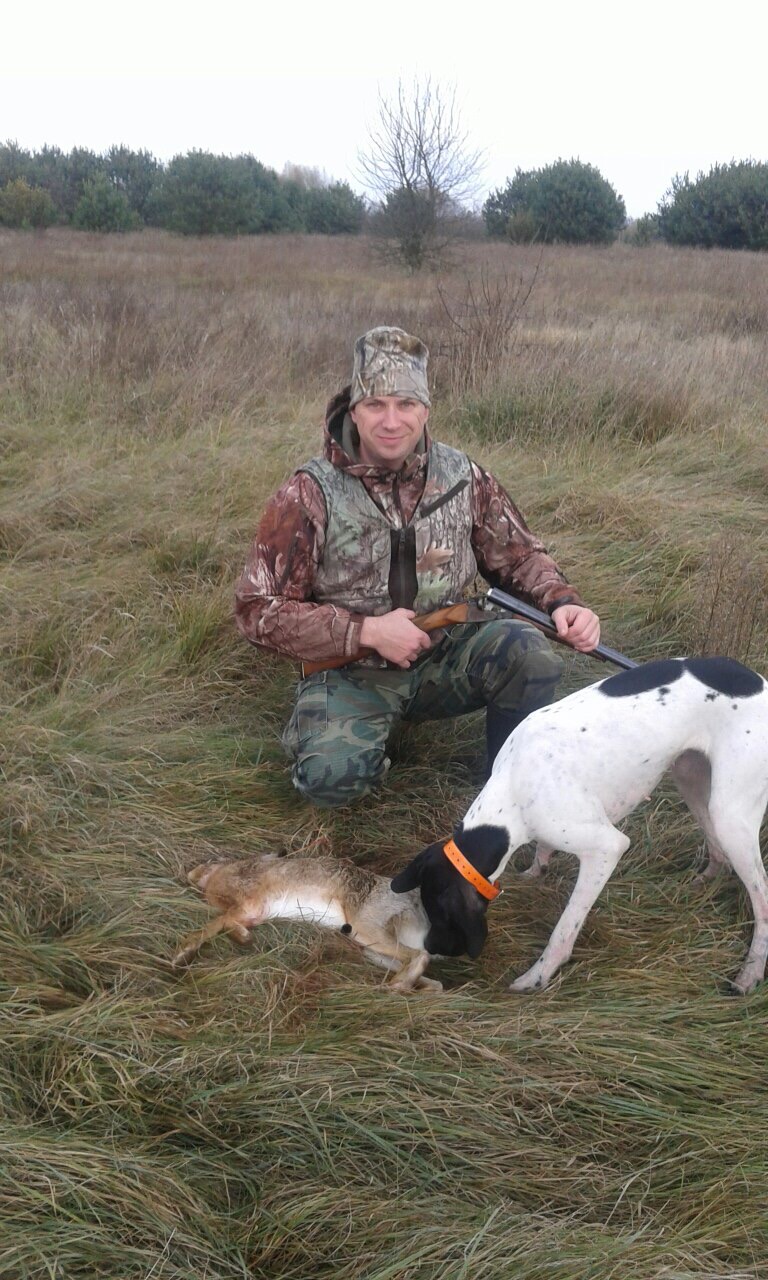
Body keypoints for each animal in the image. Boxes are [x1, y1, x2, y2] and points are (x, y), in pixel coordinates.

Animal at [172, 853, 453, 993]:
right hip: (371, 950)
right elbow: (227, 922)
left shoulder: (250, 904)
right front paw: (244, 937)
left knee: (418, 957)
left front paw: (181, 955)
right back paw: (410, 988)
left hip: (365, 928)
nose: (193, 875)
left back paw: (396, 987)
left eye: (211, 861)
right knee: (428, 975)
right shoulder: (250, 911)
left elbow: (215, 924)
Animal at [391, 656, 768, 994]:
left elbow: (566, 924)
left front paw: (540, 974)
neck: (513, 786)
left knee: (761, 896)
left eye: (442, 914)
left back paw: (750, 972)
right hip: (692, 780)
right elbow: (543, 851)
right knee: (718, 851)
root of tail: (760, 681)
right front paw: (535, 871)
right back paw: (704, 881)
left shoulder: (606, 848)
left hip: (730, 816)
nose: (432, 949)